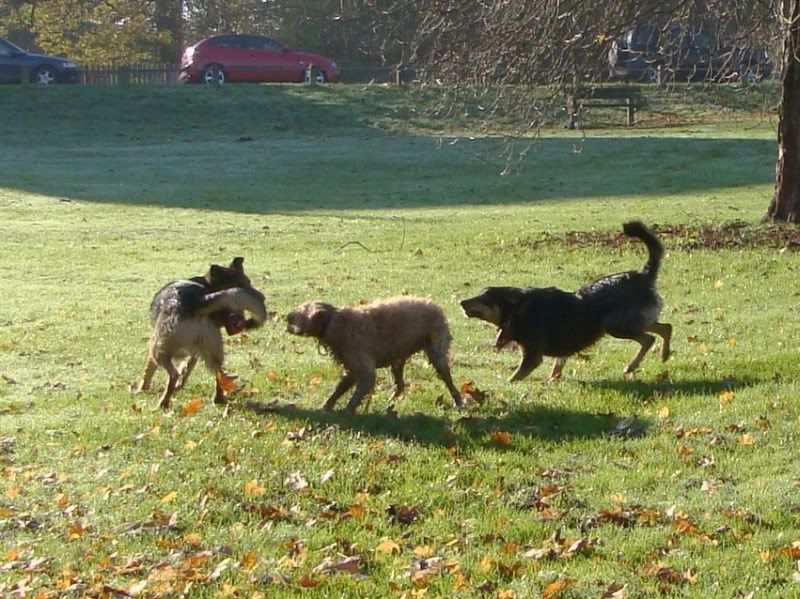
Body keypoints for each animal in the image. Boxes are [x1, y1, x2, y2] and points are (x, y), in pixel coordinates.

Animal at [133, 255, 268, 410]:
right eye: (246, 283)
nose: (262, 297)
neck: (207, 285)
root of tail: (200, 300)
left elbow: (148, 371)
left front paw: (141, 388)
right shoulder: (195, 352)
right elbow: (187, 366)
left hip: (158, 348)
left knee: (173, 374)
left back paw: (163, 402)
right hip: (214, 350)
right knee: (219, 374)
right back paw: (218, 398)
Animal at [286, 296, 462, 418]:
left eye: (301, 309)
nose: (287, 315)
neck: (334, 322)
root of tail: (435, 305)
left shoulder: (366, 371)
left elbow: (357, 394)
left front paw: (347, 412)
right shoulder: (351, 370)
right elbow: (338, 389)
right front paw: (326, 407)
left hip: (437, 355)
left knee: (449, 382)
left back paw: (459, 402)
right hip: (398, 360)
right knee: (400, 385)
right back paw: (390, 405)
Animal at [460, 221, 672, 384]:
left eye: (484, 298)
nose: (461, 302)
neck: (518, 308)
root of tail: (644, 275)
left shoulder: (532, 356)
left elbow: (514, 377)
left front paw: (507, 386)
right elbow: (557, 368)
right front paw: (551, 382)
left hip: (614, 324)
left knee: (649, 339)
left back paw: (631, 366)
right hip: (634, 320)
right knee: (666, 327)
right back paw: (664, 355)